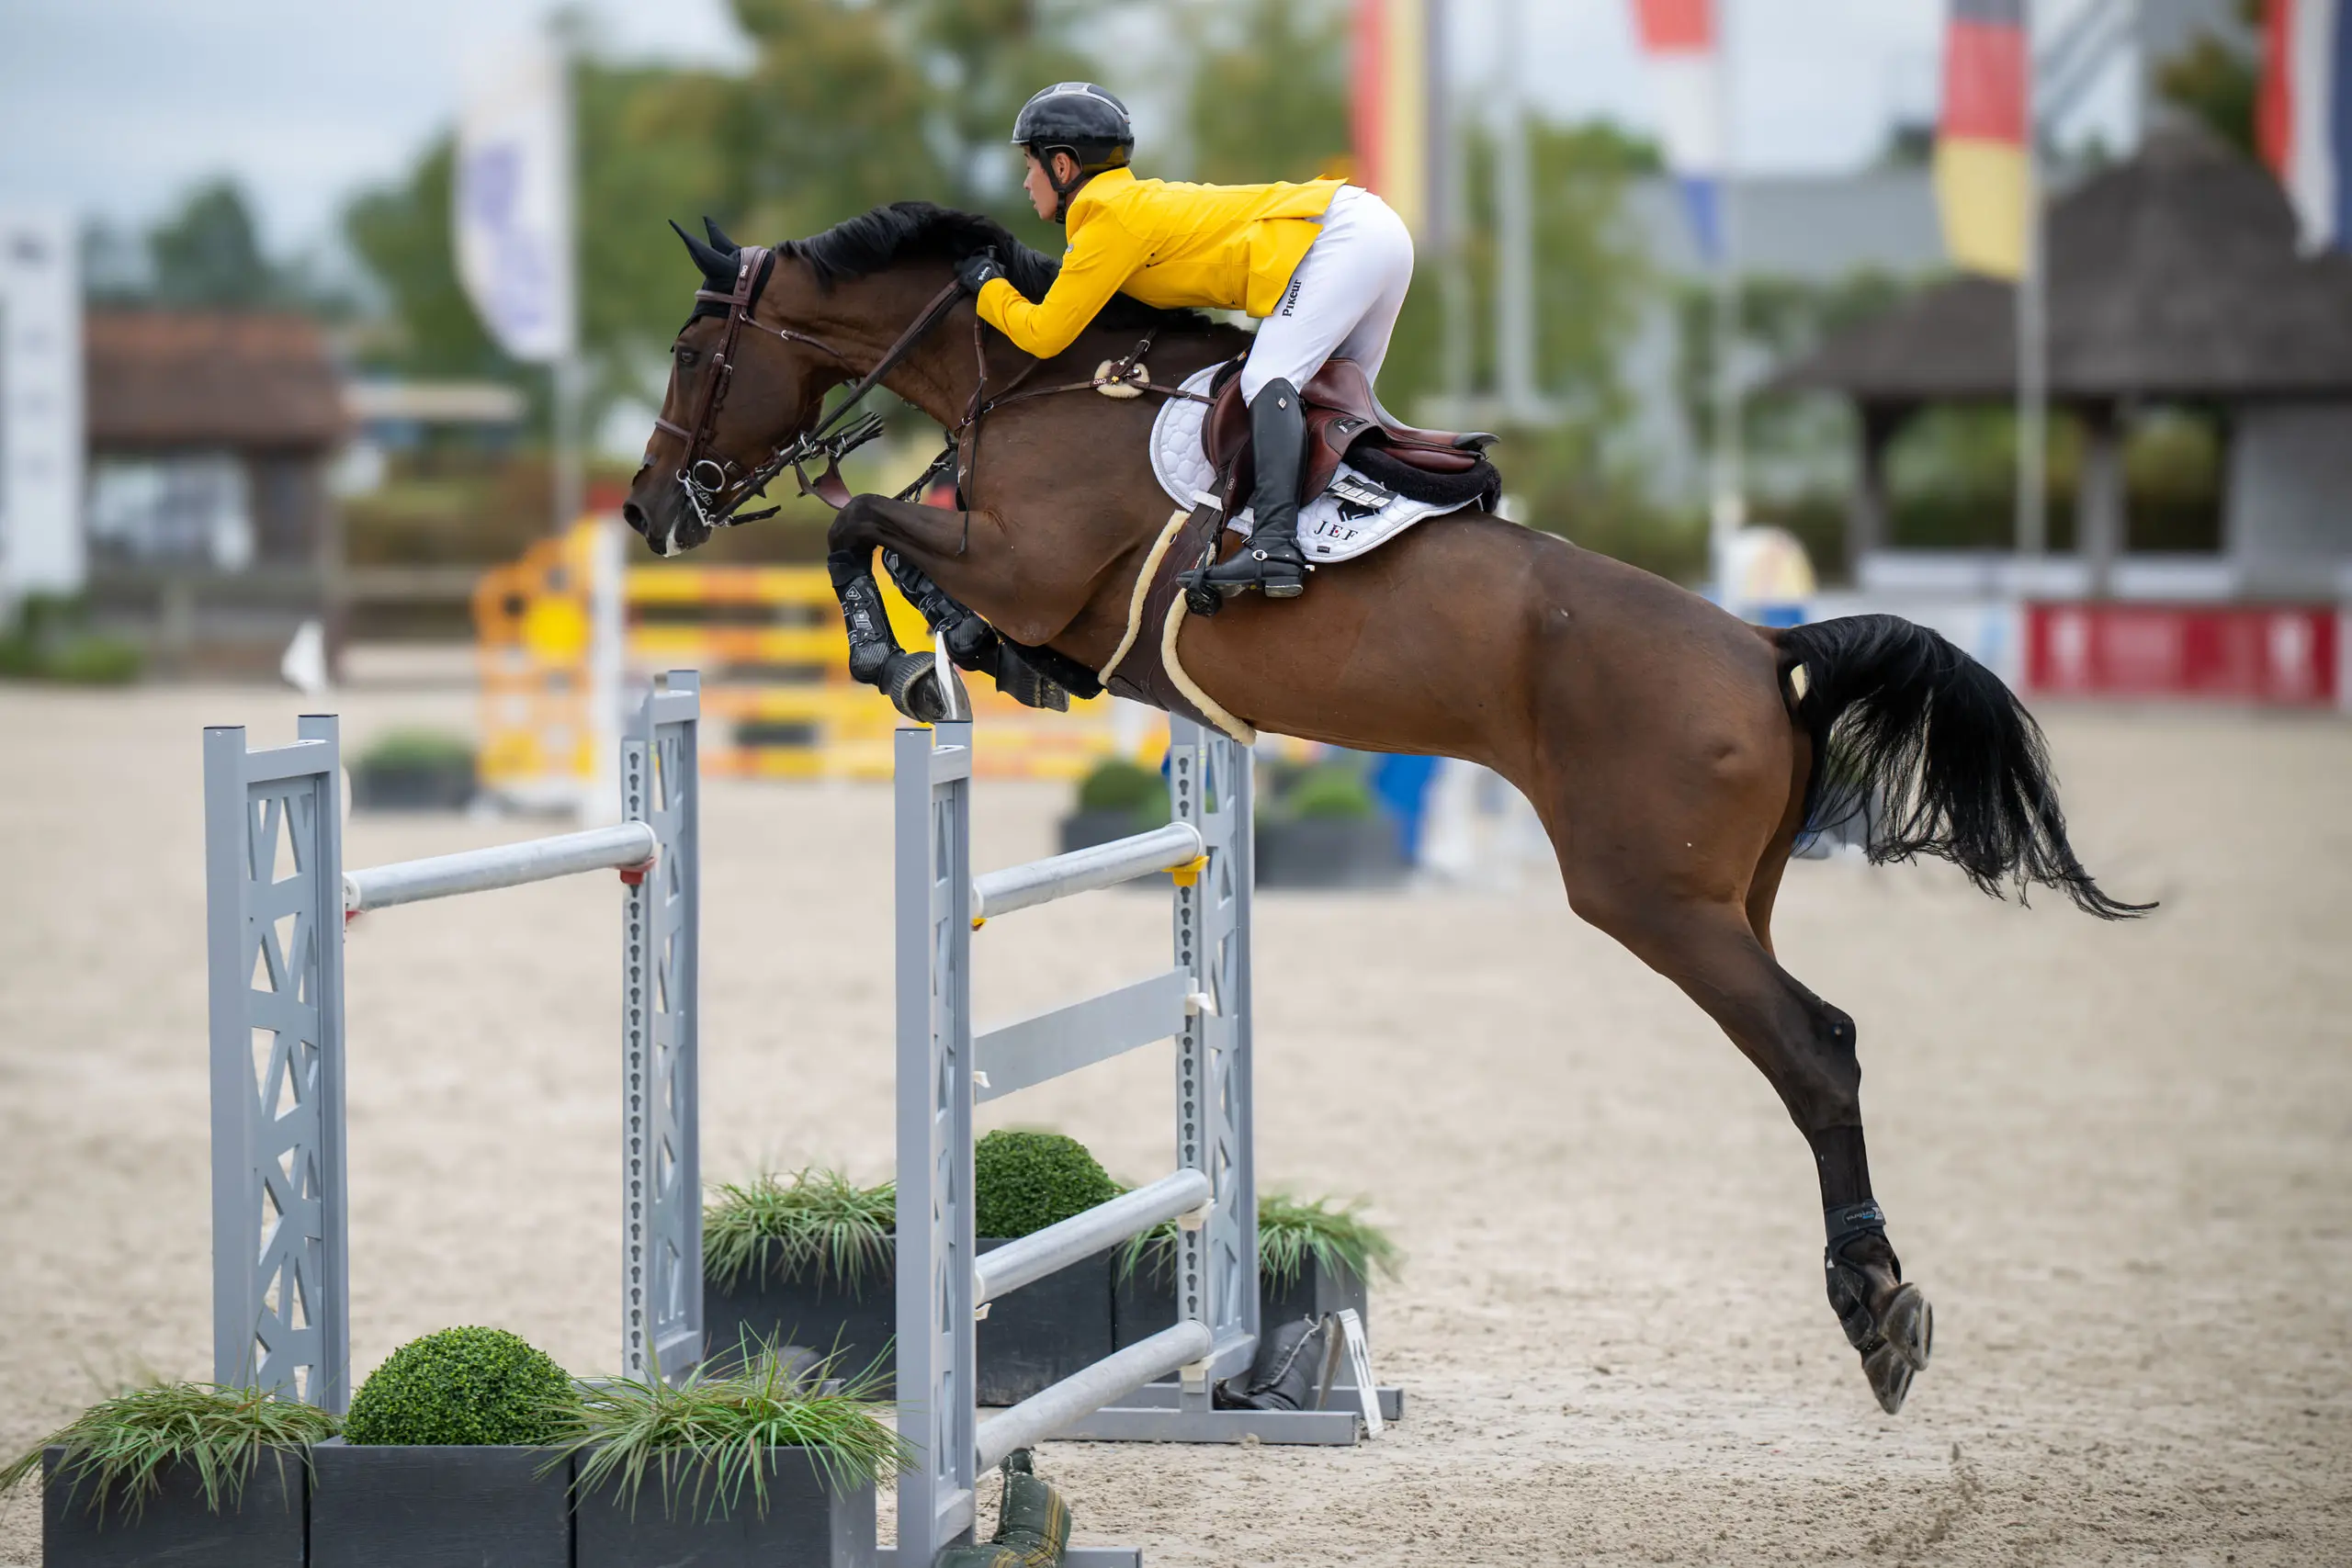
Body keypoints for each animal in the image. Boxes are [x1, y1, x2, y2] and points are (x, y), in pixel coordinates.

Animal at [624, 202, 2149, 1416]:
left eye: (694, 357)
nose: (647, 509)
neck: (1036, 383)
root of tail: (1764, 648)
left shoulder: (1021, 556)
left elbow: (860, 524)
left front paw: (893, 658)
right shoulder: (1041, 597)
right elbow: (931, 577)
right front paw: (949, 656)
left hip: (1650, 897)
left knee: (1816, 1047)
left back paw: (1876, 1304)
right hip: (1734, 893)